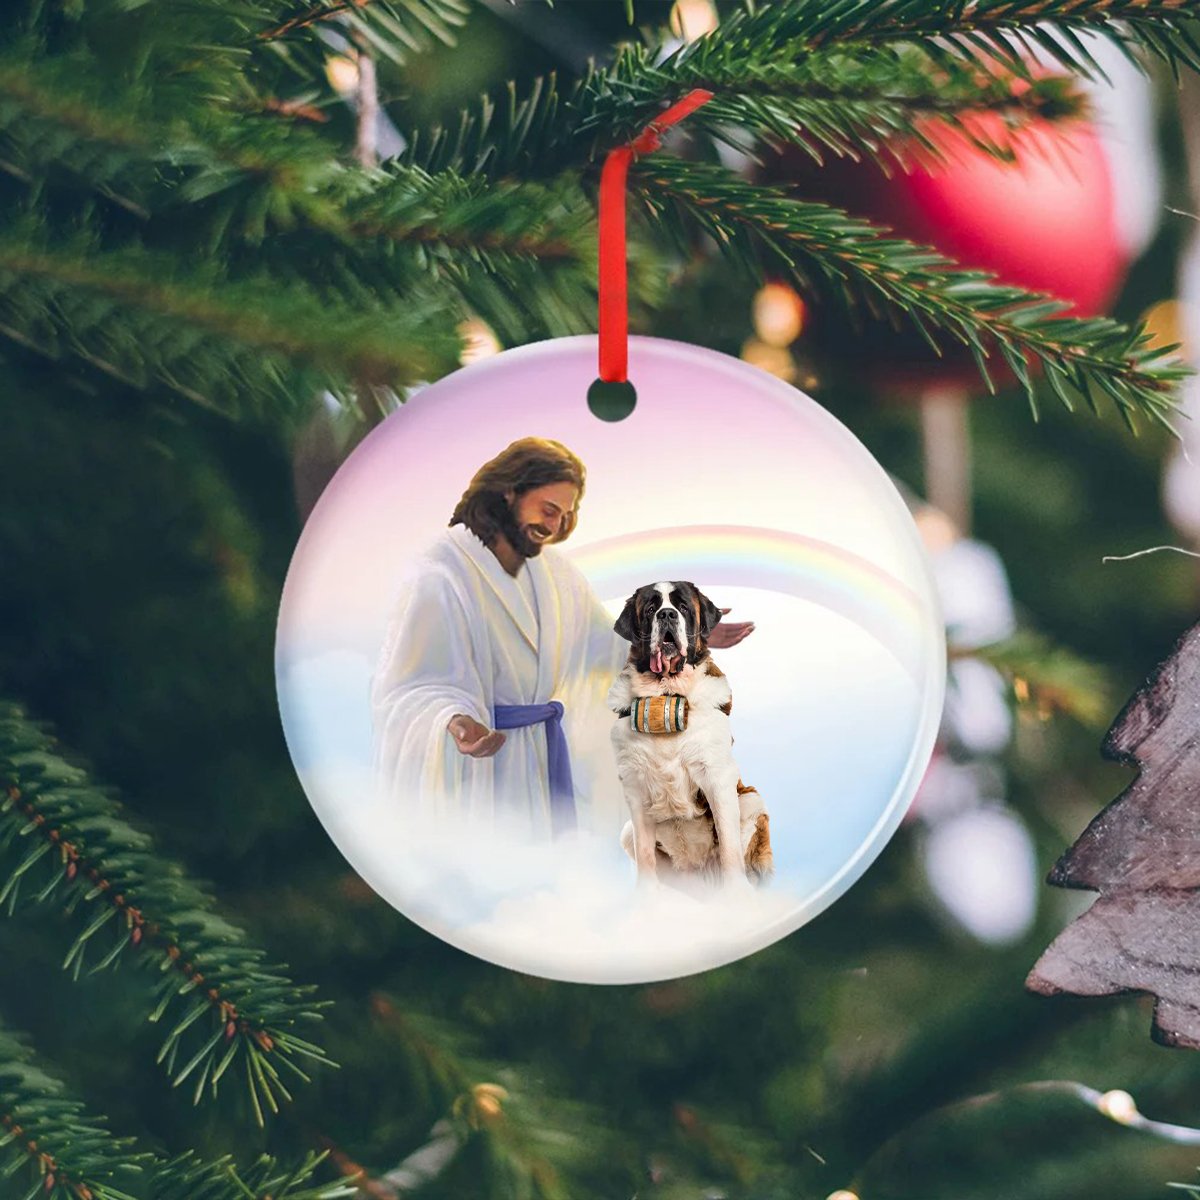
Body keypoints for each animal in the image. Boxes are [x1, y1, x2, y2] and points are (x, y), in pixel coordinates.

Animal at [604, 580, 772, 892]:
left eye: (682, 608)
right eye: (650, 609)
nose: (667, 614)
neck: (667, 692)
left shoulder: (716, 775)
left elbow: (728, 843)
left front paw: (737, 895)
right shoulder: (634, 784)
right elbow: (645, 854)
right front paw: (645, 898)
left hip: (750, 800)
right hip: (627, 831)